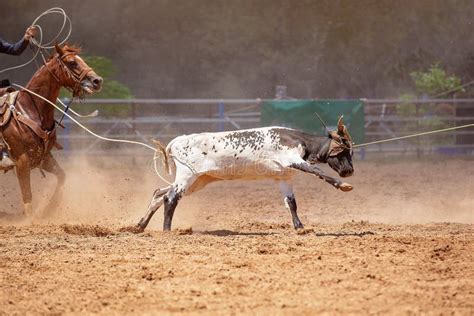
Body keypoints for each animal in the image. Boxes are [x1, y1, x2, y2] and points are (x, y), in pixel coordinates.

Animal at [0, 43, 102, 216]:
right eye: (72, 63)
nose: (97, 81)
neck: (30, 109)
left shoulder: (45, 158)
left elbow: (62, 177)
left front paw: (50, 208)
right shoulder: (22, 162)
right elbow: (27, 198)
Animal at [139, 117, 354, 231]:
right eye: (342, 152)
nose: (349, 171)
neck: (298, 140)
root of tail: (177, 141)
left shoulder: (283, 177)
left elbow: (291, 203)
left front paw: (300, 227)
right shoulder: (292, 159)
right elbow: (317, 171)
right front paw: (343, 186)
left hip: (198, 180)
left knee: (159, 193)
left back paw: (140, 225)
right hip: (186, 177)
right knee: (170, 198)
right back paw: (167, 230)